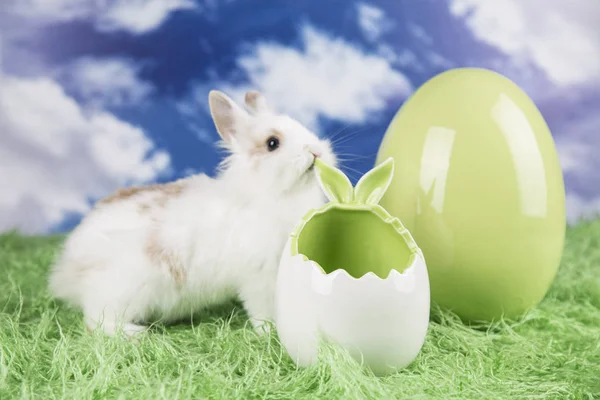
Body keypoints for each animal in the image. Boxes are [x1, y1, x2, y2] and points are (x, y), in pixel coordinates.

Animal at [48, 89, 338, 336]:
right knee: (96, 319)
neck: (274, 194)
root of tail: (70, 264)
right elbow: (263, 309)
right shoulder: (259, 276)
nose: (317, 151)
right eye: (272, 143)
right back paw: (134, 334)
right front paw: (272, 332)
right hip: (122, 289)